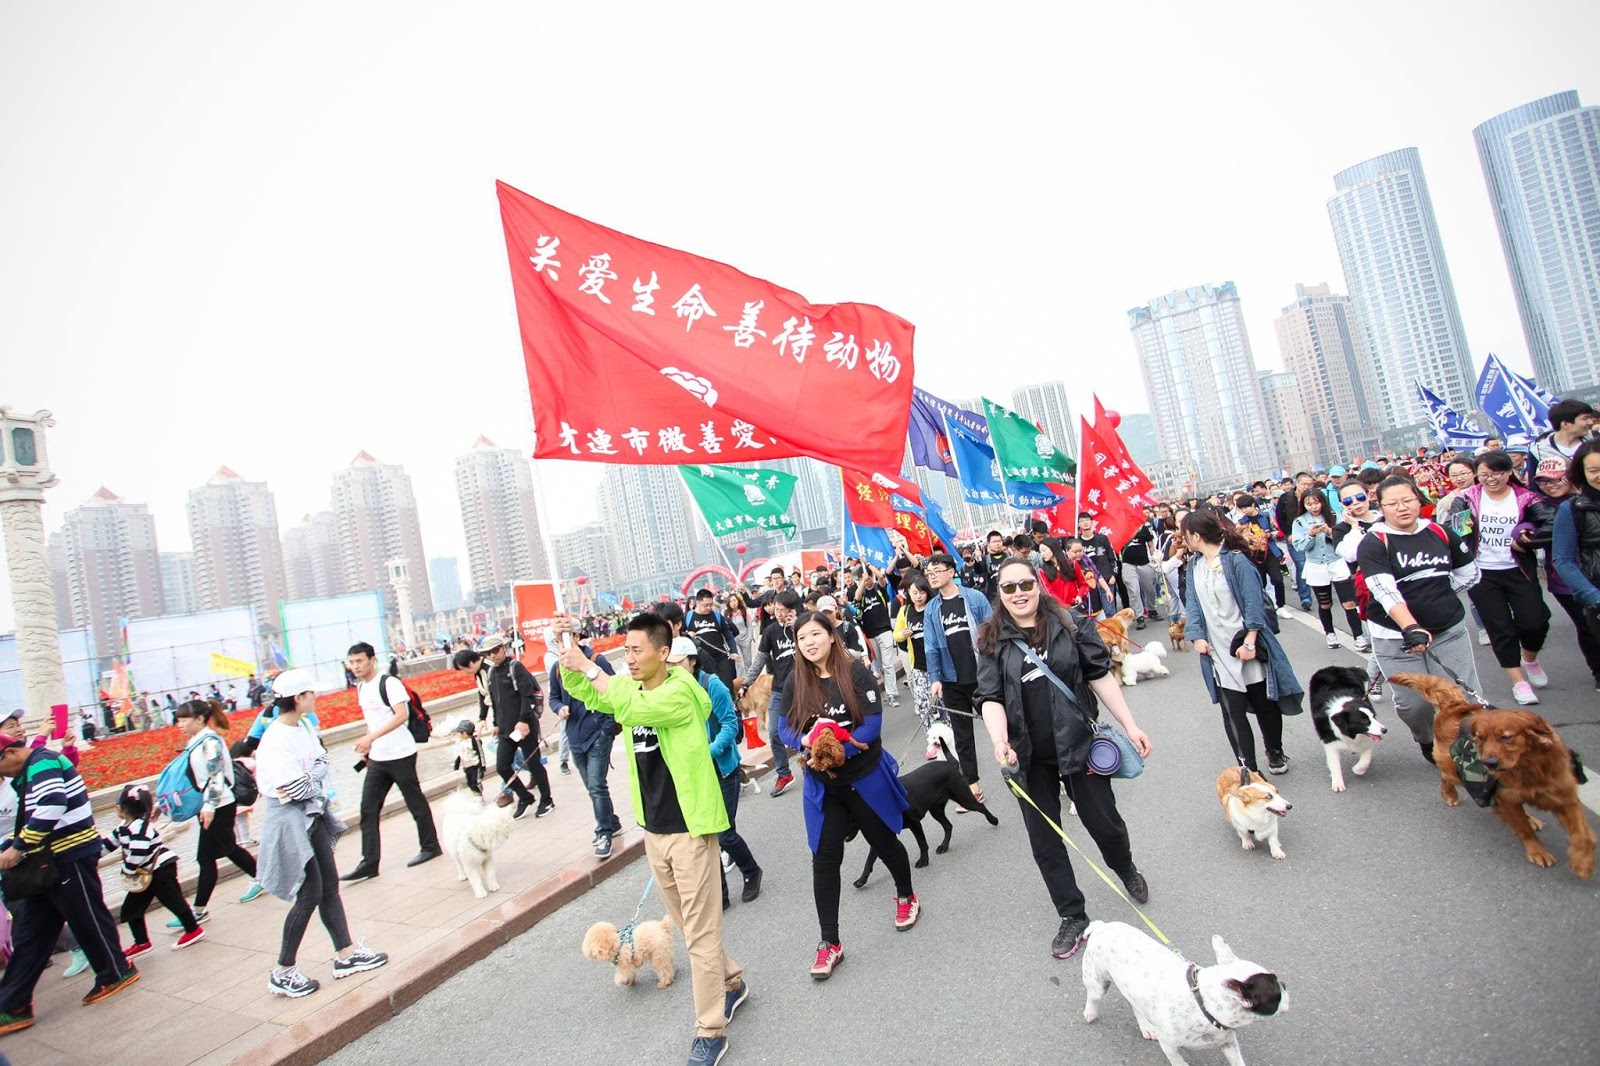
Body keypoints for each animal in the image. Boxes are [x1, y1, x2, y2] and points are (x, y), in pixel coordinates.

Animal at [857, 736, 992, 883]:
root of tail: (951, 764)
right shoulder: (881, 838)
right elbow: (869, 860)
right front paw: (862, 879)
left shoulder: (915, 824)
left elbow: (922, 843)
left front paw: (923, 860)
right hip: (936, 811)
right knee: (948, 826)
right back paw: (944, 846)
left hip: (964, 798)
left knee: (981, 807)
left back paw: (993, 820)